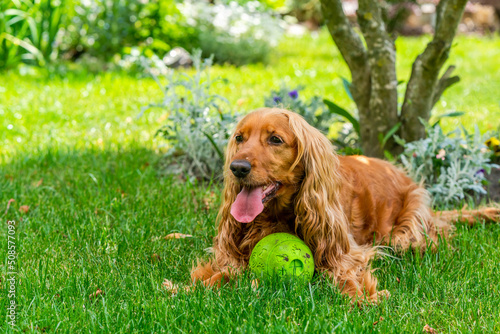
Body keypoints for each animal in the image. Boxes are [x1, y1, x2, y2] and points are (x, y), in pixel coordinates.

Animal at [189, 107, 498, 302]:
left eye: (275, 139)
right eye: (239, 138)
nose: (237, 168)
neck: (278, 215)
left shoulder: (346, 251)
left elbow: (346, 272)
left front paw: (359, 297)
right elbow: (223, 271)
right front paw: (198, 287)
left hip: (406, 231)